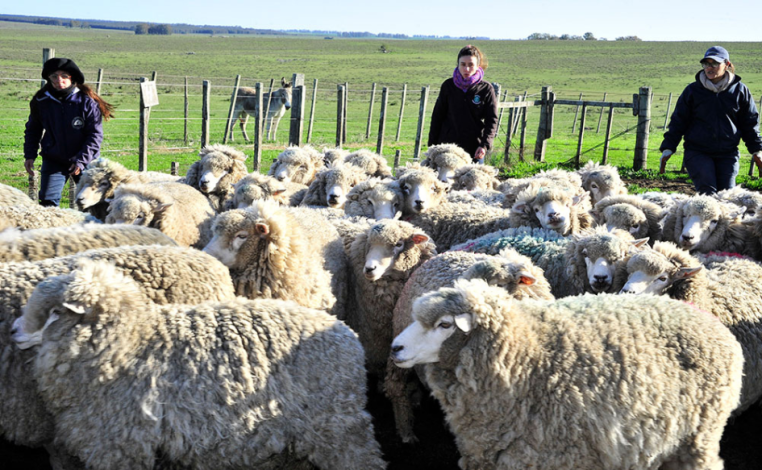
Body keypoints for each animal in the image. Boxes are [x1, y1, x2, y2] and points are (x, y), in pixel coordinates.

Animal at [11, 260, 386, 470]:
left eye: (54, 312)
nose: (13, 331)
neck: (129, 339)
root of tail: (348, 334)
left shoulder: (119, 443)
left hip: (339, 426)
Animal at [391, 279, 744, 470]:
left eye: (444, 325)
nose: (395, 348)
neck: (527, 356)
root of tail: (713, 324)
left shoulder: (565, 454)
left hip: (700, 436)